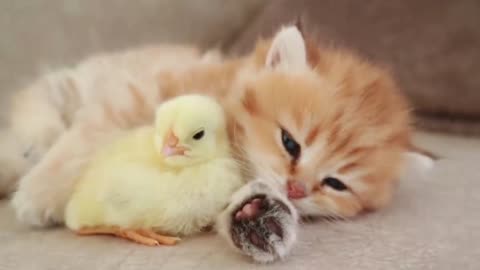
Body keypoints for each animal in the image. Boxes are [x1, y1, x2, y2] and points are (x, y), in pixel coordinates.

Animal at [0, 24, 434, 262]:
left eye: (336, 184)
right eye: (290, 143)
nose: (297, 190)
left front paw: (260, 217)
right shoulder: (138, 93)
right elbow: (89, 136)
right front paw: (41, 193)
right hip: (69, 87)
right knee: (34, 114)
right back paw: (28, 160)